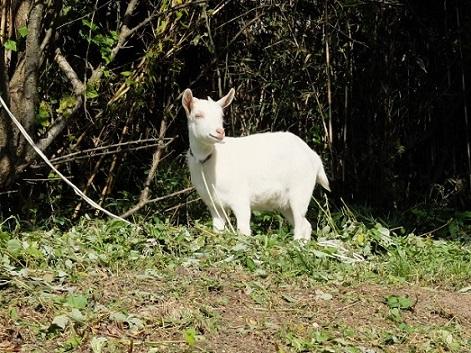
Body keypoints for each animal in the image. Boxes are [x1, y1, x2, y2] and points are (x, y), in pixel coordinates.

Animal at [183, 88, 330, 242]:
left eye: (221, 116)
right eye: (198, 115)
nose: (219, 132)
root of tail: (314, 157)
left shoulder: (240, 198)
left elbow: (243, 231)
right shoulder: (214, 205)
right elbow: (218, 231)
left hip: (300, 190)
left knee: (300, 224)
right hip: (286, 203)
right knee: (306, 225)